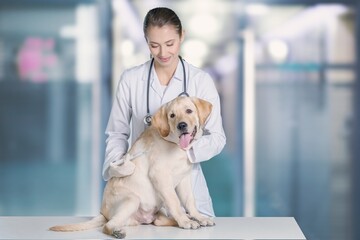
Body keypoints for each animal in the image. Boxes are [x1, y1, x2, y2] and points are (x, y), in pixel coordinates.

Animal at [49, 96, 215, 239]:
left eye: (189, 111)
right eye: (172, 115)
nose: (182, 125)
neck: (173, 144)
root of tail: (102, 213)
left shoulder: (184, 179)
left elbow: (189, 201)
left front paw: (198, 217)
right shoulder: (159, 175)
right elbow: (174, 201)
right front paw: (185, 221)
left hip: (157, 210)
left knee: (158, 221)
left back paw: (189, 218)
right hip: (132, 199)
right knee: (107, 225)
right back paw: (117, 232)